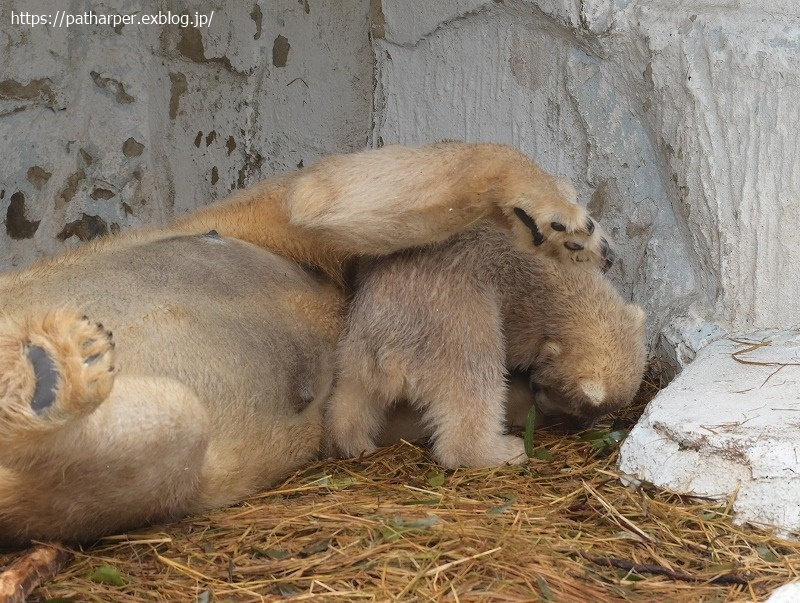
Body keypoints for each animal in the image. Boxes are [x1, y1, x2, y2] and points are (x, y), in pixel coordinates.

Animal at [0, 143, 608, 548]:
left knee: (164, 436)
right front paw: (564, 221)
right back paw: (62, 369)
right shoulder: (261, 227)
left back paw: (55, 374)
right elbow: (328, 199)